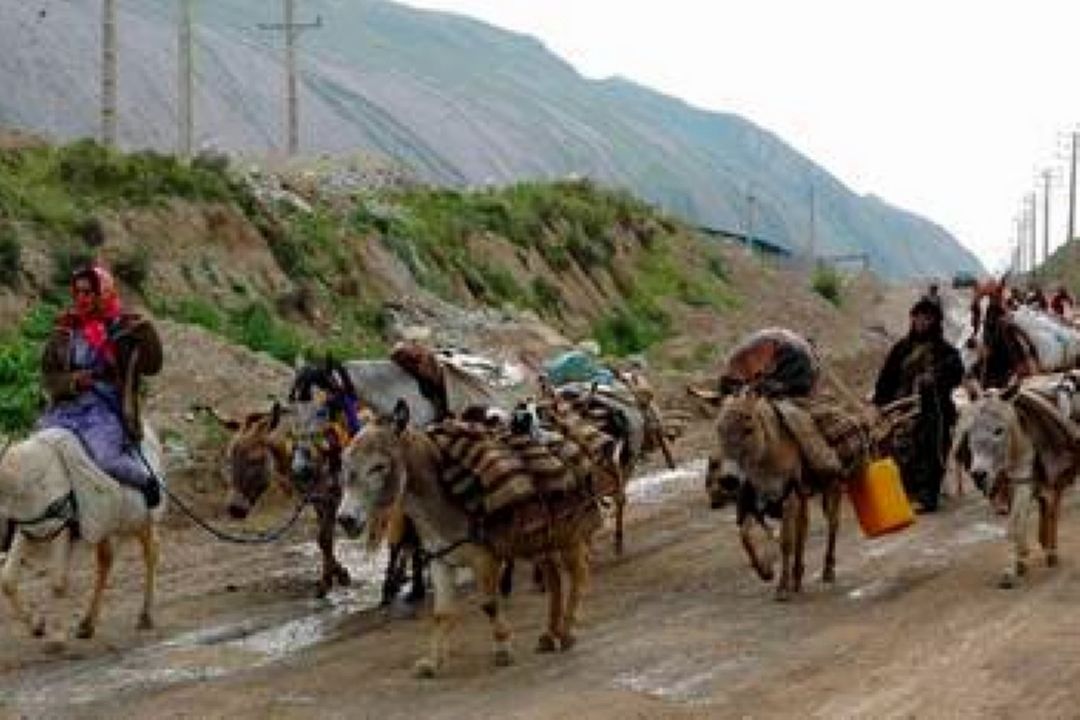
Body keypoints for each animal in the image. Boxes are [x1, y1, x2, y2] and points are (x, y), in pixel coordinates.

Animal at [0, 427, 164, 647]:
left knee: (151, 551)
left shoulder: (61, 529)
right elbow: (7, 581)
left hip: (139, 518)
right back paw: (87, 625)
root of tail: (150, 434)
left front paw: (57, 638)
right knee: (107, 559)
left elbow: (58, 583)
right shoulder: (26, 530)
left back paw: (145, 616)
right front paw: (37, 626)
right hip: (106, 526)